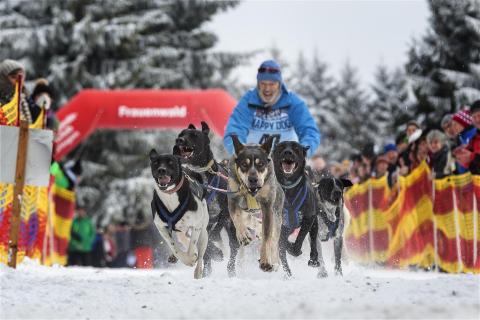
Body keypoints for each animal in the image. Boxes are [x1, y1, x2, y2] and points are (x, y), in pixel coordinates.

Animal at [172, 122, 240, 278]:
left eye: (194, 135)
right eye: (181, 134)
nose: (179, 140)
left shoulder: (222, 216)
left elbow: (211, 238)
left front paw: (216, 251)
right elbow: (205, 246)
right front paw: (214, 254)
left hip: (231, 227)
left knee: (233, 248)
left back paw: (231, 270)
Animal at [272, 141, 320, 276]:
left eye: (295, 147)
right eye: (281, 147)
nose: (288, 152)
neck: (289, 189)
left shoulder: (308, 218)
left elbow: (300, 237)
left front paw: (295, 250)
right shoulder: (280, 224)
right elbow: (281, 244)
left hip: (314, 223)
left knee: (313, 240)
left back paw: (314, 259)